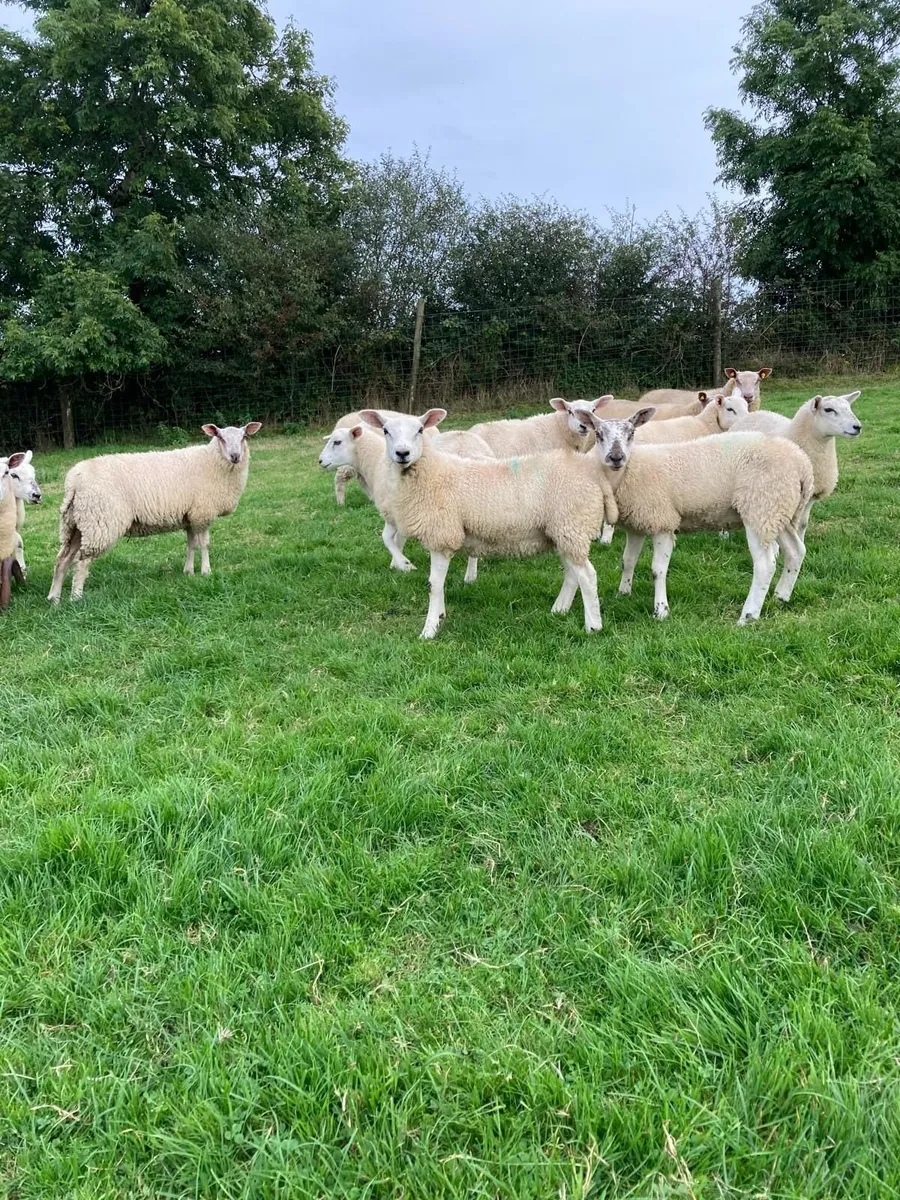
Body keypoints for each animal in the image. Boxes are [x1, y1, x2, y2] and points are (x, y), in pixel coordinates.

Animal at [47, 421, 262, 602]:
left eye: (243, 437)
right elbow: (204, 544)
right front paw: (206, 571)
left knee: (62, 560)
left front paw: (188, 572)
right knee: (81, 562)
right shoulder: (203, 513)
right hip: (99, 522)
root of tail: (73, 482)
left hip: (76, 524)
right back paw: (76, 597)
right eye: (220, 437)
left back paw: (54, 599)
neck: (212, 462)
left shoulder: (190, 516)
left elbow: (191, 545)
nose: (235, 456)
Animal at [319, 421, 481, 582]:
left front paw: (403, 564)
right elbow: (397, 538)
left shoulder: (394, 511)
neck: (376, 464)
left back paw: (470, 576)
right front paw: (398, 564)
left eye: (337, 442)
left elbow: (388, 538)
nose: (320, 461)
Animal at [358, 409, 619, 639]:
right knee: (572, 574)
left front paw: (429, 630)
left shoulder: (443, 535)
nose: (402, 453)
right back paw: (559, 610)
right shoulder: (442, 537)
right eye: (385, 431)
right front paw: (440, 616)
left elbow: (434, 584)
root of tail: (592, 474)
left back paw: (593, 625)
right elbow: (438, 585)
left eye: (420, 430)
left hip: (571, 527)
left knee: (587, 576)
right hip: (563, 532)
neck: (431, 473)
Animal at [580, 408, 814, 625]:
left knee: (765, 565)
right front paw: (623, 593)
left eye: (631, 433)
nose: (616, 457)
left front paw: (661, 610)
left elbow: (658, 570)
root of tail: (802, 464)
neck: (628, 472)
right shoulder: (637, 524)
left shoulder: (663, 521)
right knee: (796, 551)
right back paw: (781, 596)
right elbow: (627, 561)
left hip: (760, 507)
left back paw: (748, 615)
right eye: (599, 434)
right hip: (779, 512)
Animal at [729, 392, 862, 542]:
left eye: (849, 408)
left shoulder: (811, 495)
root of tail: (751, 414)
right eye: (828, 409)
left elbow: (802, 524)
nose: (857, 427)